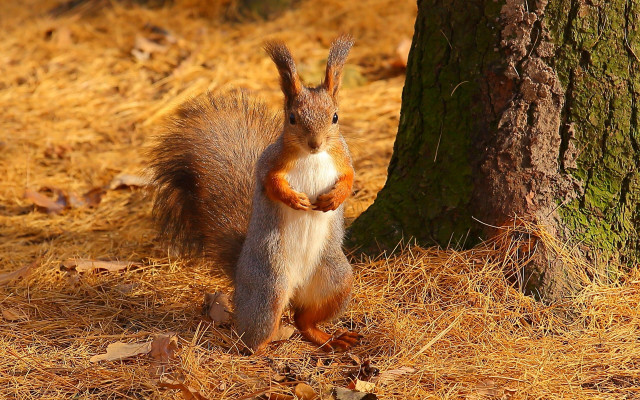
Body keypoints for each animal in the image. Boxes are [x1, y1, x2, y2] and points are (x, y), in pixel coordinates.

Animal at [149, 35, 360, 353]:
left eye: (335, 117)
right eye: (292, 118)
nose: (315, 143)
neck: (313, 156)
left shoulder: (343, 158)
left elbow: (349, 178)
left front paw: (333, 198)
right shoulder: (269, 163)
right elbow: (270, 183)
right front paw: (294, 199)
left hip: (336, 280)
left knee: (303, 319)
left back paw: (325, 336)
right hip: (268, 286)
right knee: (255, 332)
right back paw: (262, 349)